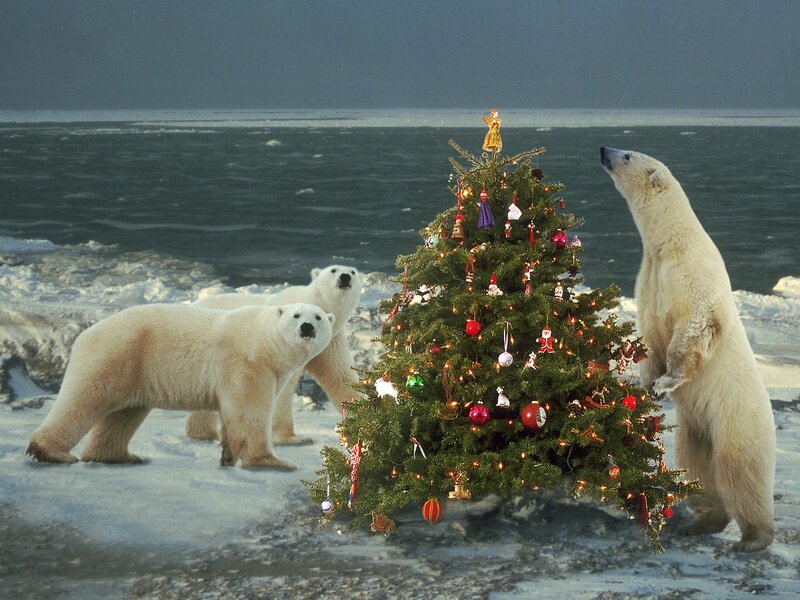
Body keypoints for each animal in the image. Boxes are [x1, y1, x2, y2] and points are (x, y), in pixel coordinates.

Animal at [26, 302, 333, 470]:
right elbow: (248, 411)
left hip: (135, 369)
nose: (307, 327)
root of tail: (86, 333)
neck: (265, 341)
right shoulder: (247, 364)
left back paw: (121, 456)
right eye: (296, 315)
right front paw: (273, 461)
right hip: (117, 354)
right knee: (84, 398)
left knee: (125, 413)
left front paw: (227, 457)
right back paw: (50, 452)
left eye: (319, 317)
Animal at [185, 265, 363, 444]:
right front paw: (290, 437)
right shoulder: (282, 344)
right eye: (333, 270)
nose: (345, 277)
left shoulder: (332, 341)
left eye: (353, 272)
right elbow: (283, 388)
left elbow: (340, 376)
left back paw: (203, 432)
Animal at [601, 147, 775, 552]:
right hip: (694, 427)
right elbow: (649, 334)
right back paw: (699, 522)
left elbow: (693, 327)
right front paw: (645, 385)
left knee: (740, 470)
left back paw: (753, 538)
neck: (669, 243)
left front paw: (665, 382)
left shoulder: (691, 275)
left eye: (627, 154)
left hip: (737, 418)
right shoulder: (650, 278)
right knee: (697, 468)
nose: (603, 151)